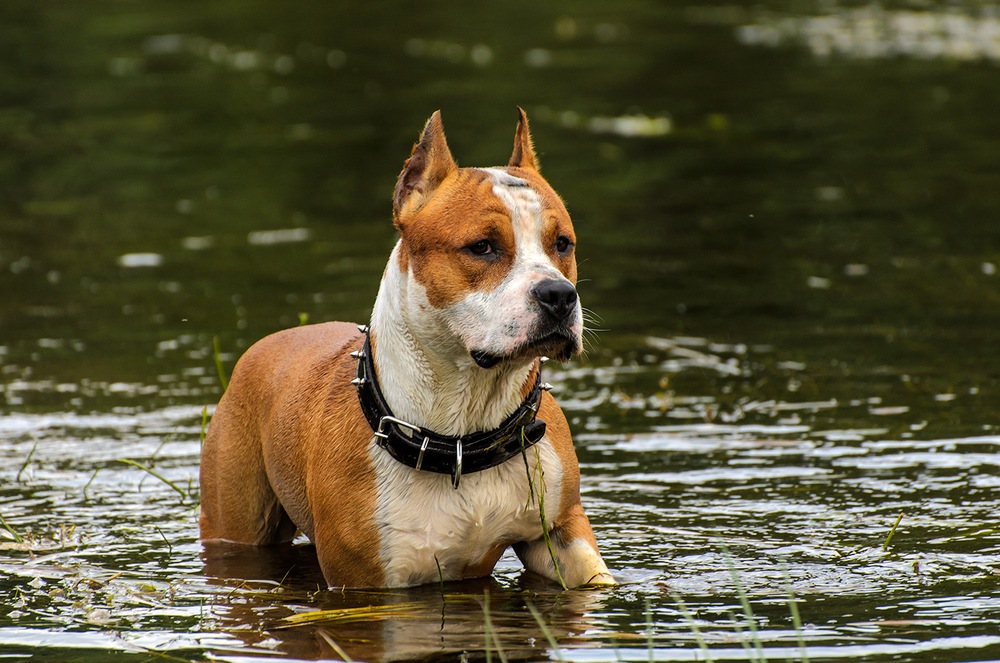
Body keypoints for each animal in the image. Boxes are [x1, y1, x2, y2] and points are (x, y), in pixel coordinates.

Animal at [199, 110, 612, 592]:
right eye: (482, 247)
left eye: (562, 243)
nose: (558, 294)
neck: (463, 434)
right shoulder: (369, 581)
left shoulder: (563, 534)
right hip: (237, 522)